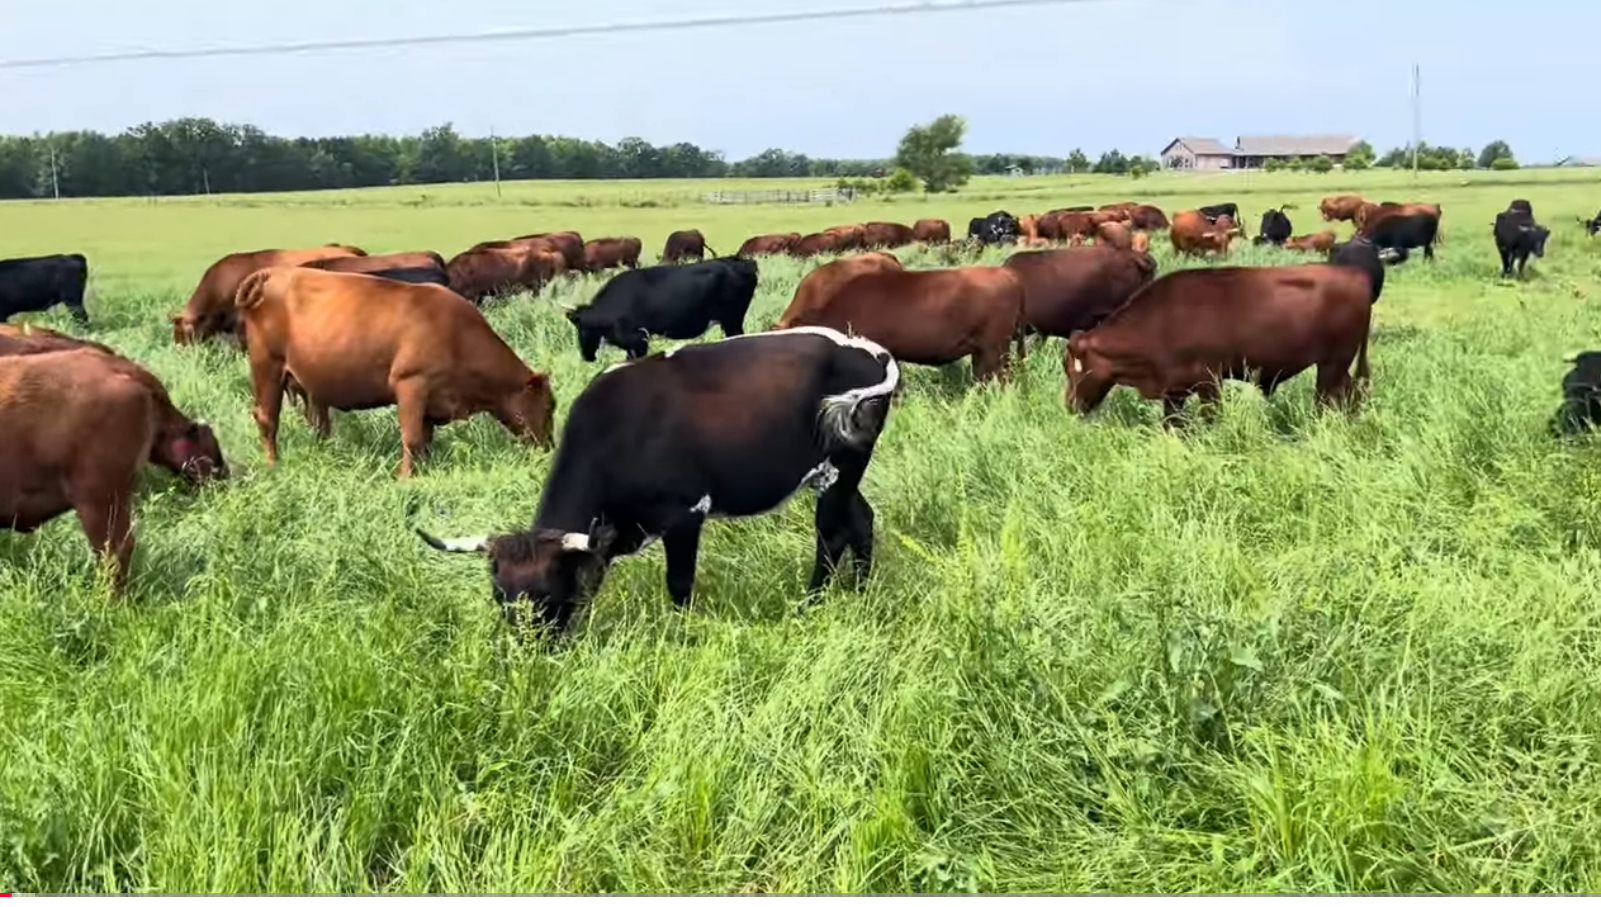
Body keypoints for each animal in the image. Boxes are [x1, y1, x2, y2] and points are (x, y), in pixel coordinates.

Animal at [233, 267, 556, 477]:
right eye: (550, 406)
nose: (550, 448)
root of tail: (269, 273)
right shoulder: (411, 384)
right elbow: (411, 439)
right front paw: (404, 479)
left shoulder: (432, 402)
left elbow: (425, 441)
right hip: (266, 366)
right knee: (267, 418)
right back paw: (273, 465)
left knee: (319, 424)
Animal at [415, 326, 900, 634]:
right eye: (501, 597)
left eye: (548, 597)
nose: (527, 656)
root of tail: (869, 349)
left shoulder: (686, 514)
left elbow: (679, 586)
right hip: (846, 474)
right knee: (861, 519)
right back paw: (860, 590)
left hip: (841, 467)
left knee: (831, 533)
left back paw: (812, 601)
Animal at [1062, 264, 1373, 424]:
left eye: (1073, 369)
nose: (1069, 405)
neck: (1160, 320)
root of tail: (1357, 276)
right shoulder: (1174, 390)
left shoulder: (1209, 383)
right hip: (1337, 367)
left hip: (1332, 365)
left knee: (1329, 399)